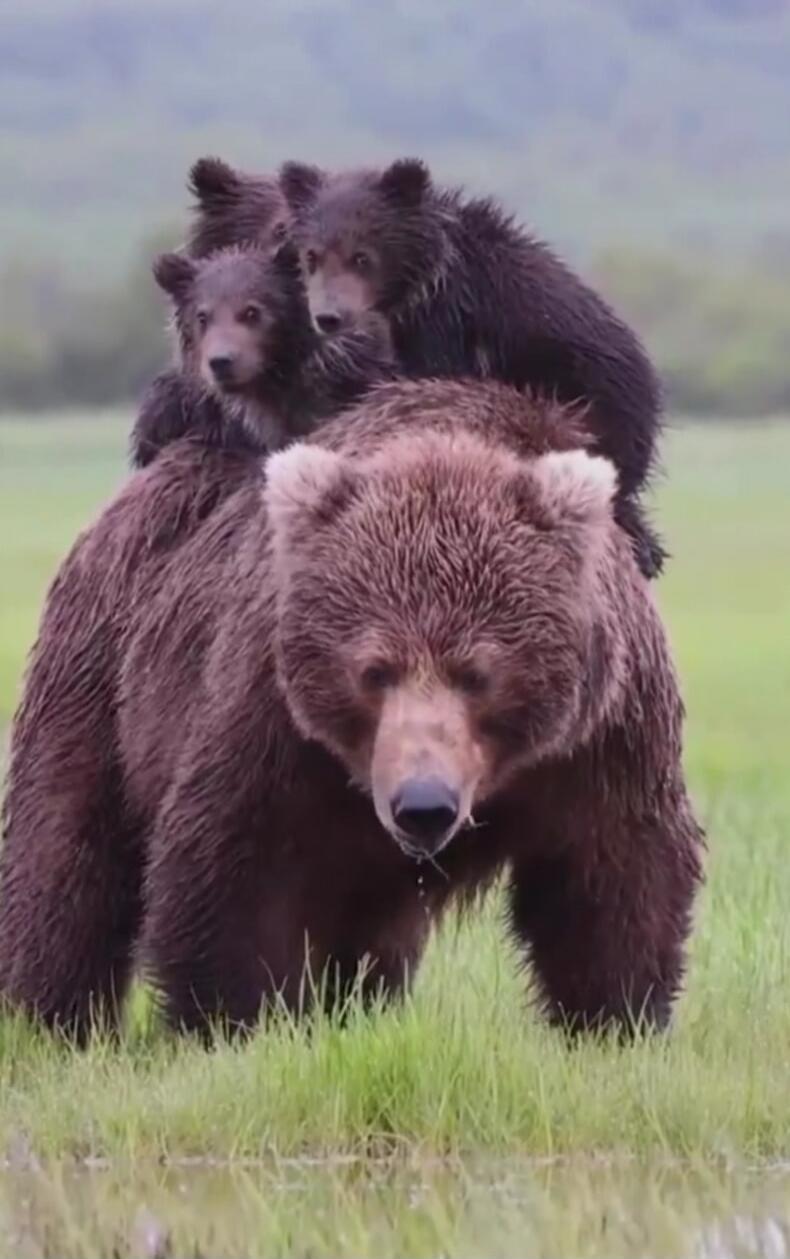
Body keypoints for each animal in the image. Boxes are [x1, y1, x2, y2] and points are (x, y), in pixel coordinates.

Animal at [0, 378, 703, 1044]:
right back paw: (47, 1015)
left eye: (478, 674)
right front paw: (232, 1019)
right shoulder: (275, 720)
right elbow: (230, 861)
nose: (423, 803)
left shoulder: (600, 736)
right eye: (373, 670)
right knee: (65, 850)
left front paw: (619, 1018)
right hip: (103, 673)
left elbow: (613, 870)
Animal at [279, 157, 666, 580]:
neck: (420, 280)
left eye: (361, 256)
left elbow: (425, 377)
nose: (329, 317)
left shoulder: (452, 322)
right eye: (312, 256)